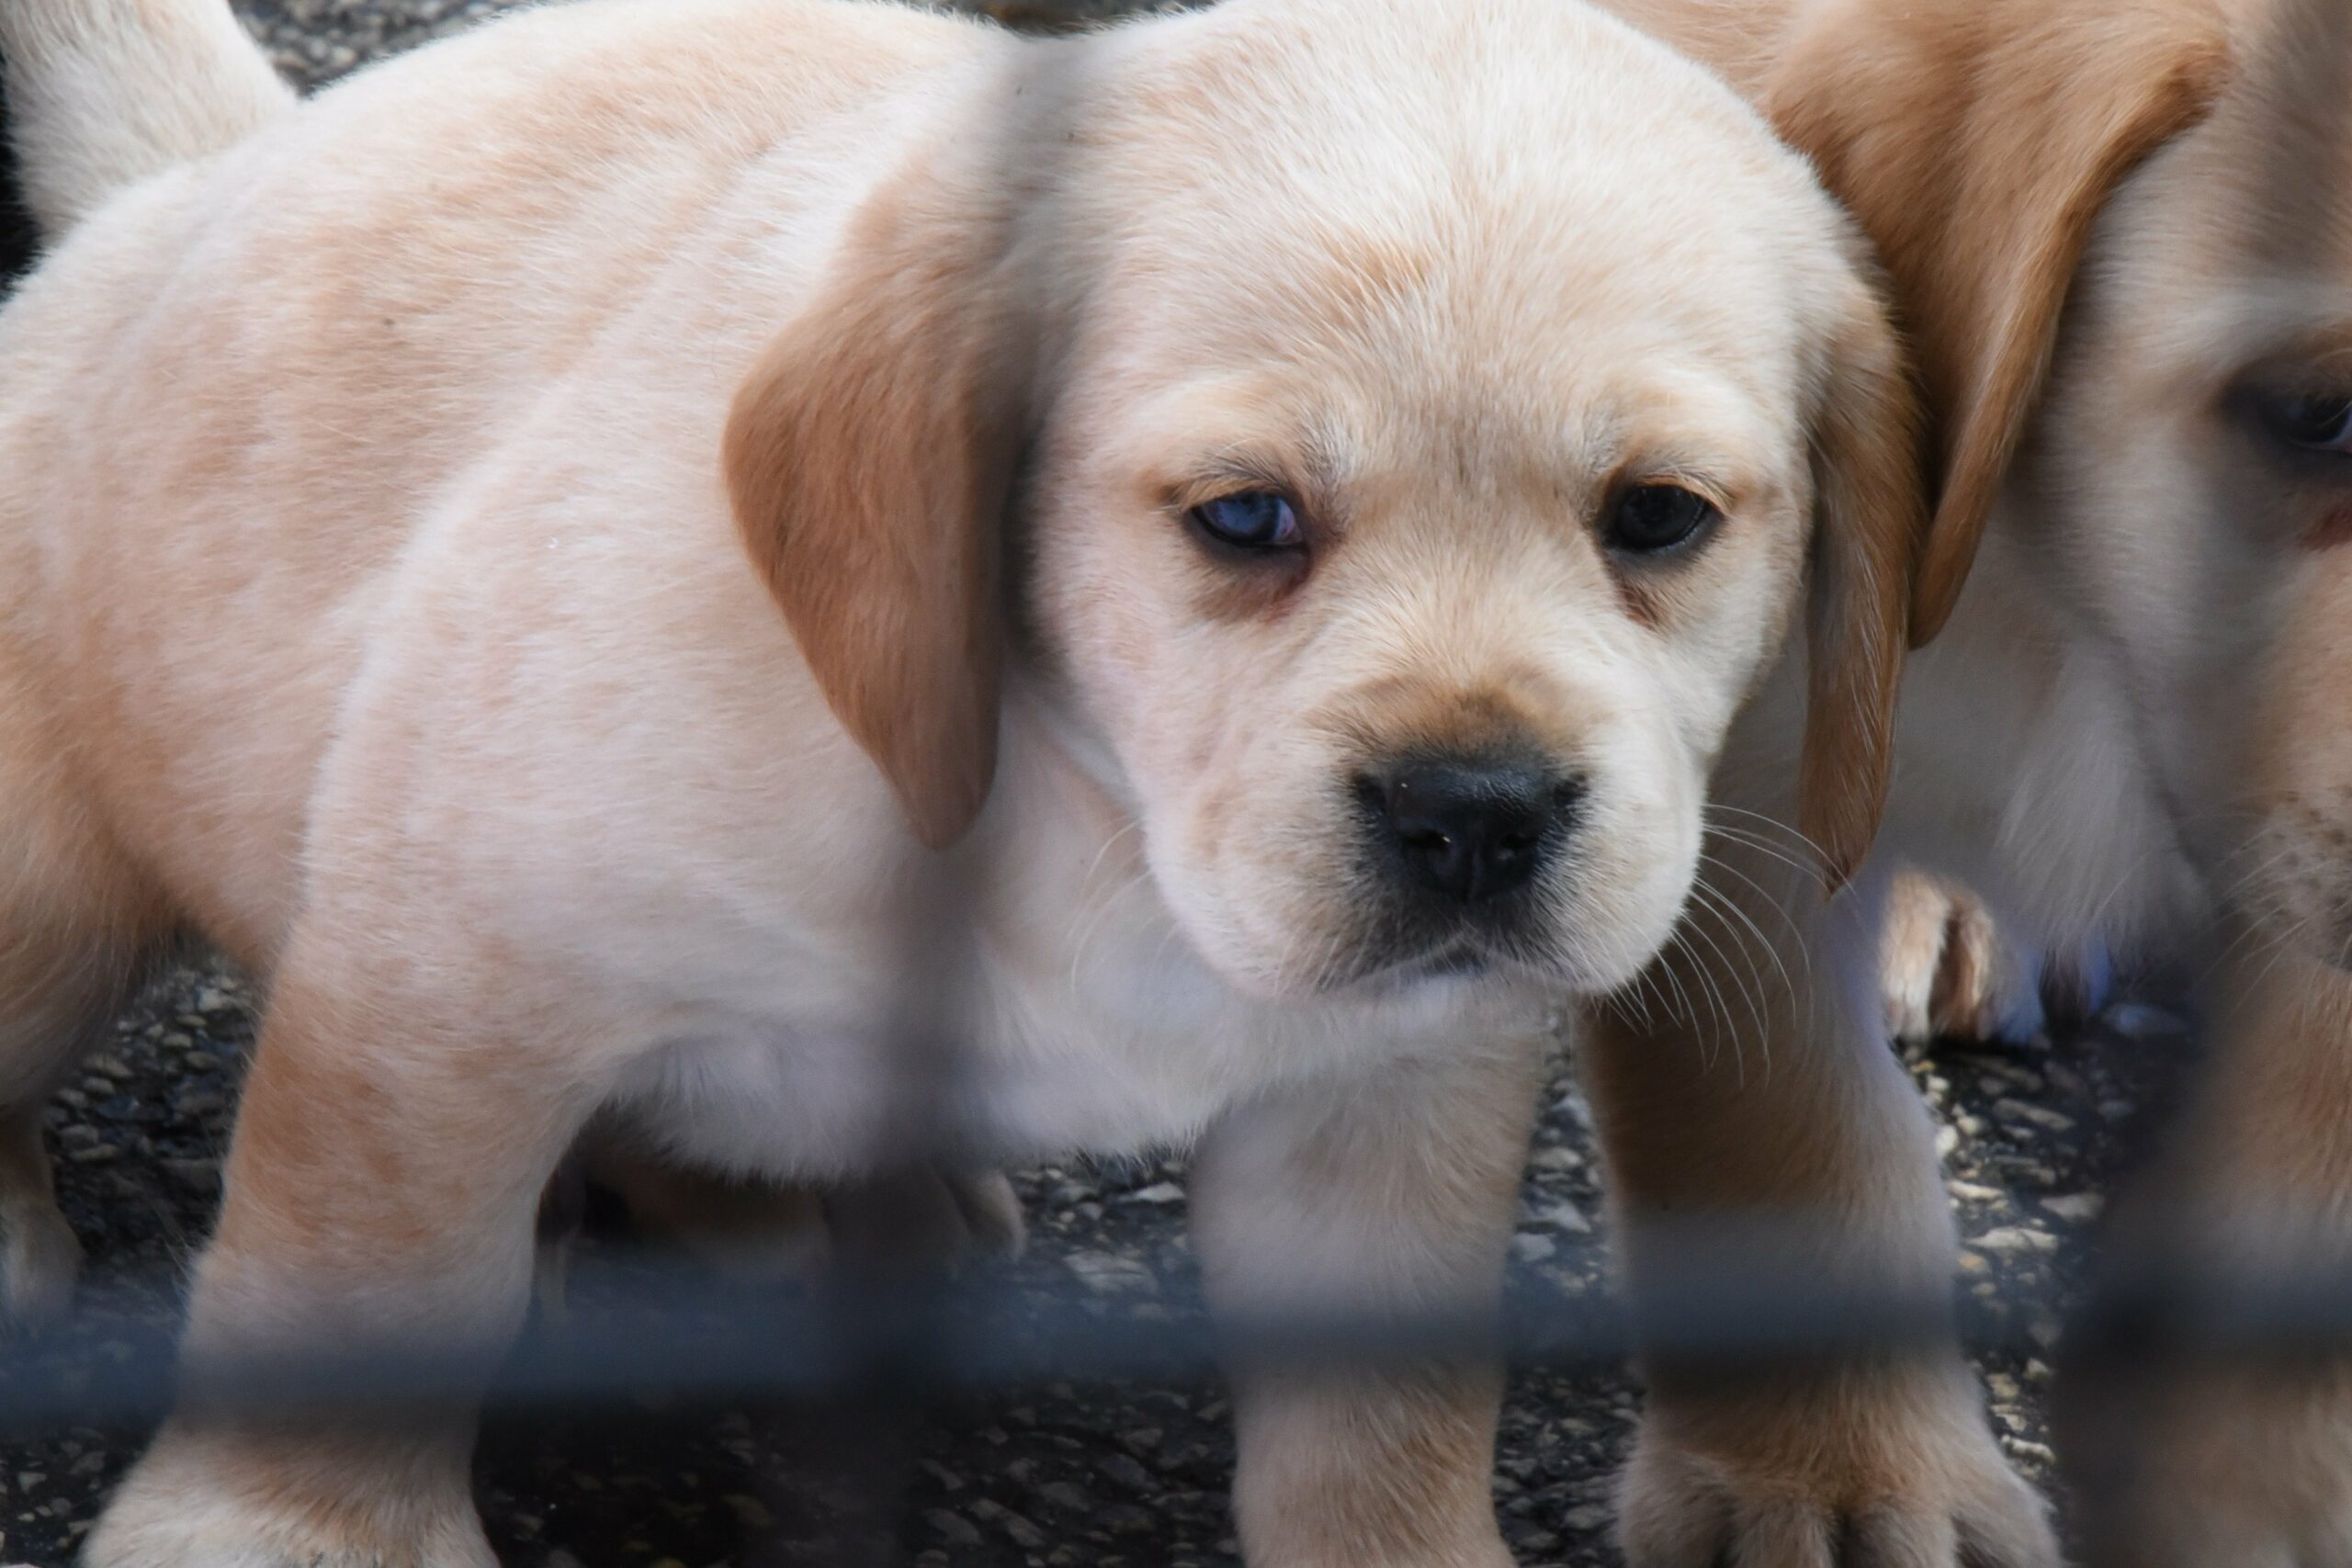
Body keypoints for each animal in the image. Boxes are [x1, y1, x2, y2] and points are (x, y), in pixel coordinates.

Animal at [0, 0, 1928, 1561]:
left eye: (1658, 517)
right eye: (1245, 519)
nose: (1478, 814)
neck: (1093, 819)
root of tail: (185, 192)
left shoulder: (1391, 1089)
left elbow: (1385, 1415)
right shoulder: (441, 967)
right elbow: (373, 1273)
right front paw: (287, 1529)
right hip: (53, 887)